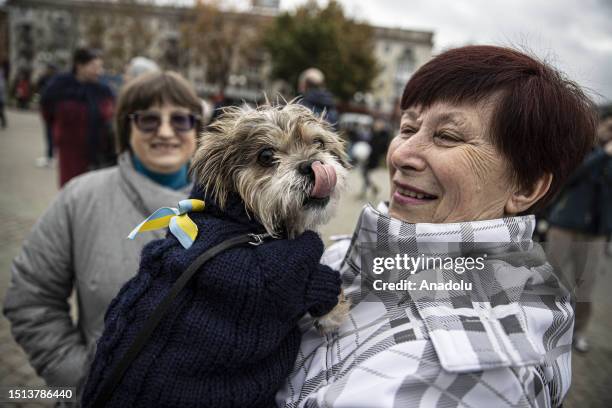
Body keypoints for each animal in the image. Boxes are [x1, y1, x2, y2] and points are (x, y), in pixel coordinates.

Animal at [82, 103, 350, 408]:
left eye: (318, 143)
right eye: (266, 156)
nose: (311, 164)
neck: (244, 223)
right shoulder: (287, 275)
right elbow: (320, 282)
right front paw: (332, 313)